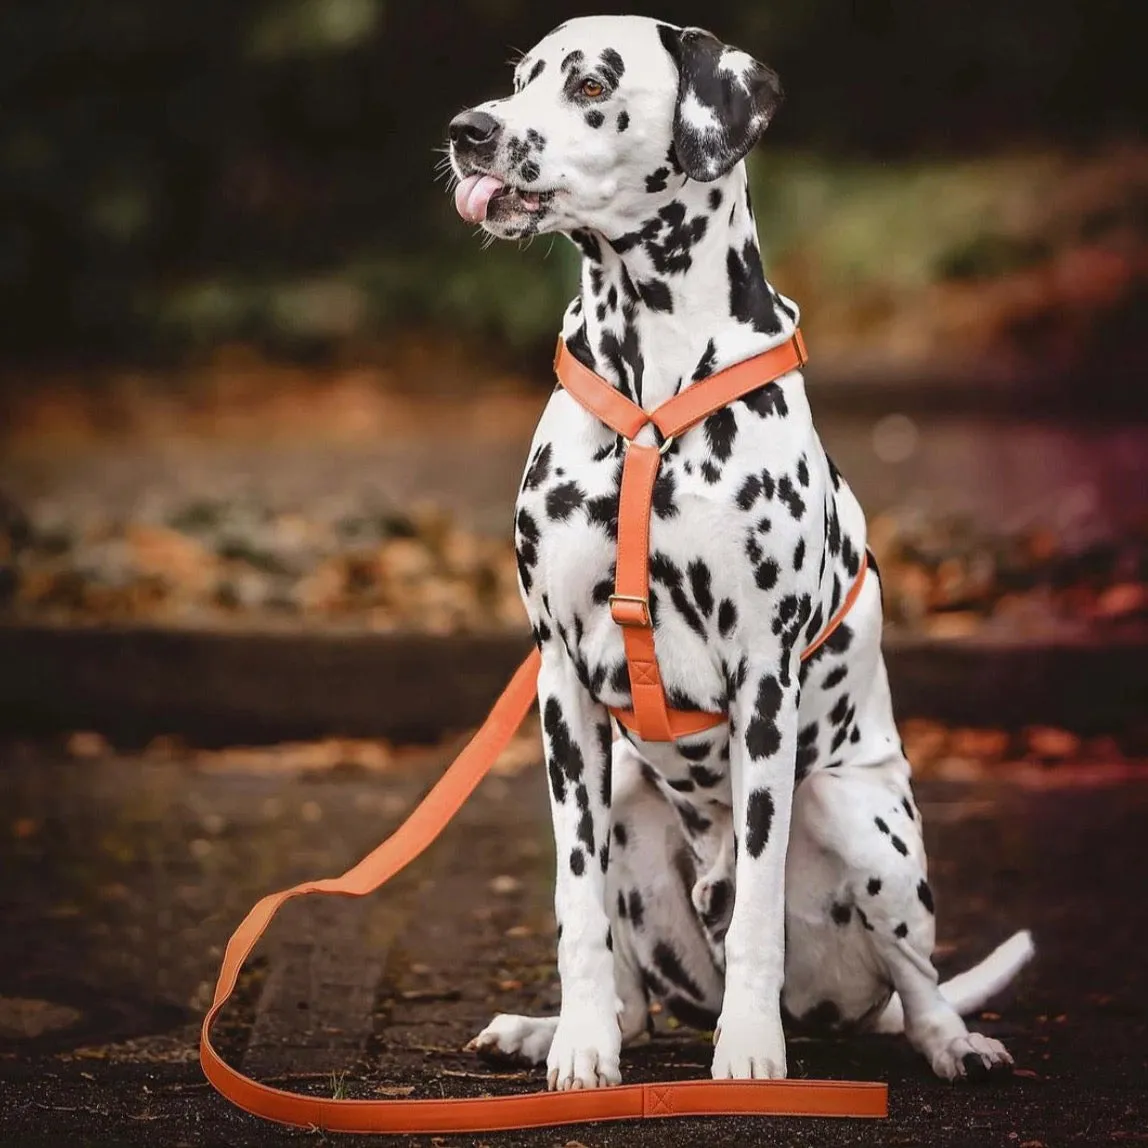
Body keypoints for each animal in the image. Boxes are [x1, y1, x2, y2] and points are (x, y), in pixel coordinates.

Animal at [445, 13, 1033, 1088]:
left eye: (591, 84)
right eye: (521, 77)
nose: (470, 130)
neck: (650, 392)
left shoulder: (764, 682)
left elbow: (758, 898)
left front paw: (751, 1050)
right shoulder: (561, 691)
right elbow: (574, 904)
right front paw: (578, 1045)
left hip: (859, 821)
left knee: (917, 978)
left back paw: (948, 1042)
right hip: (629, 802)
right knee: (639, 993)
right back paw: (554, 1028)